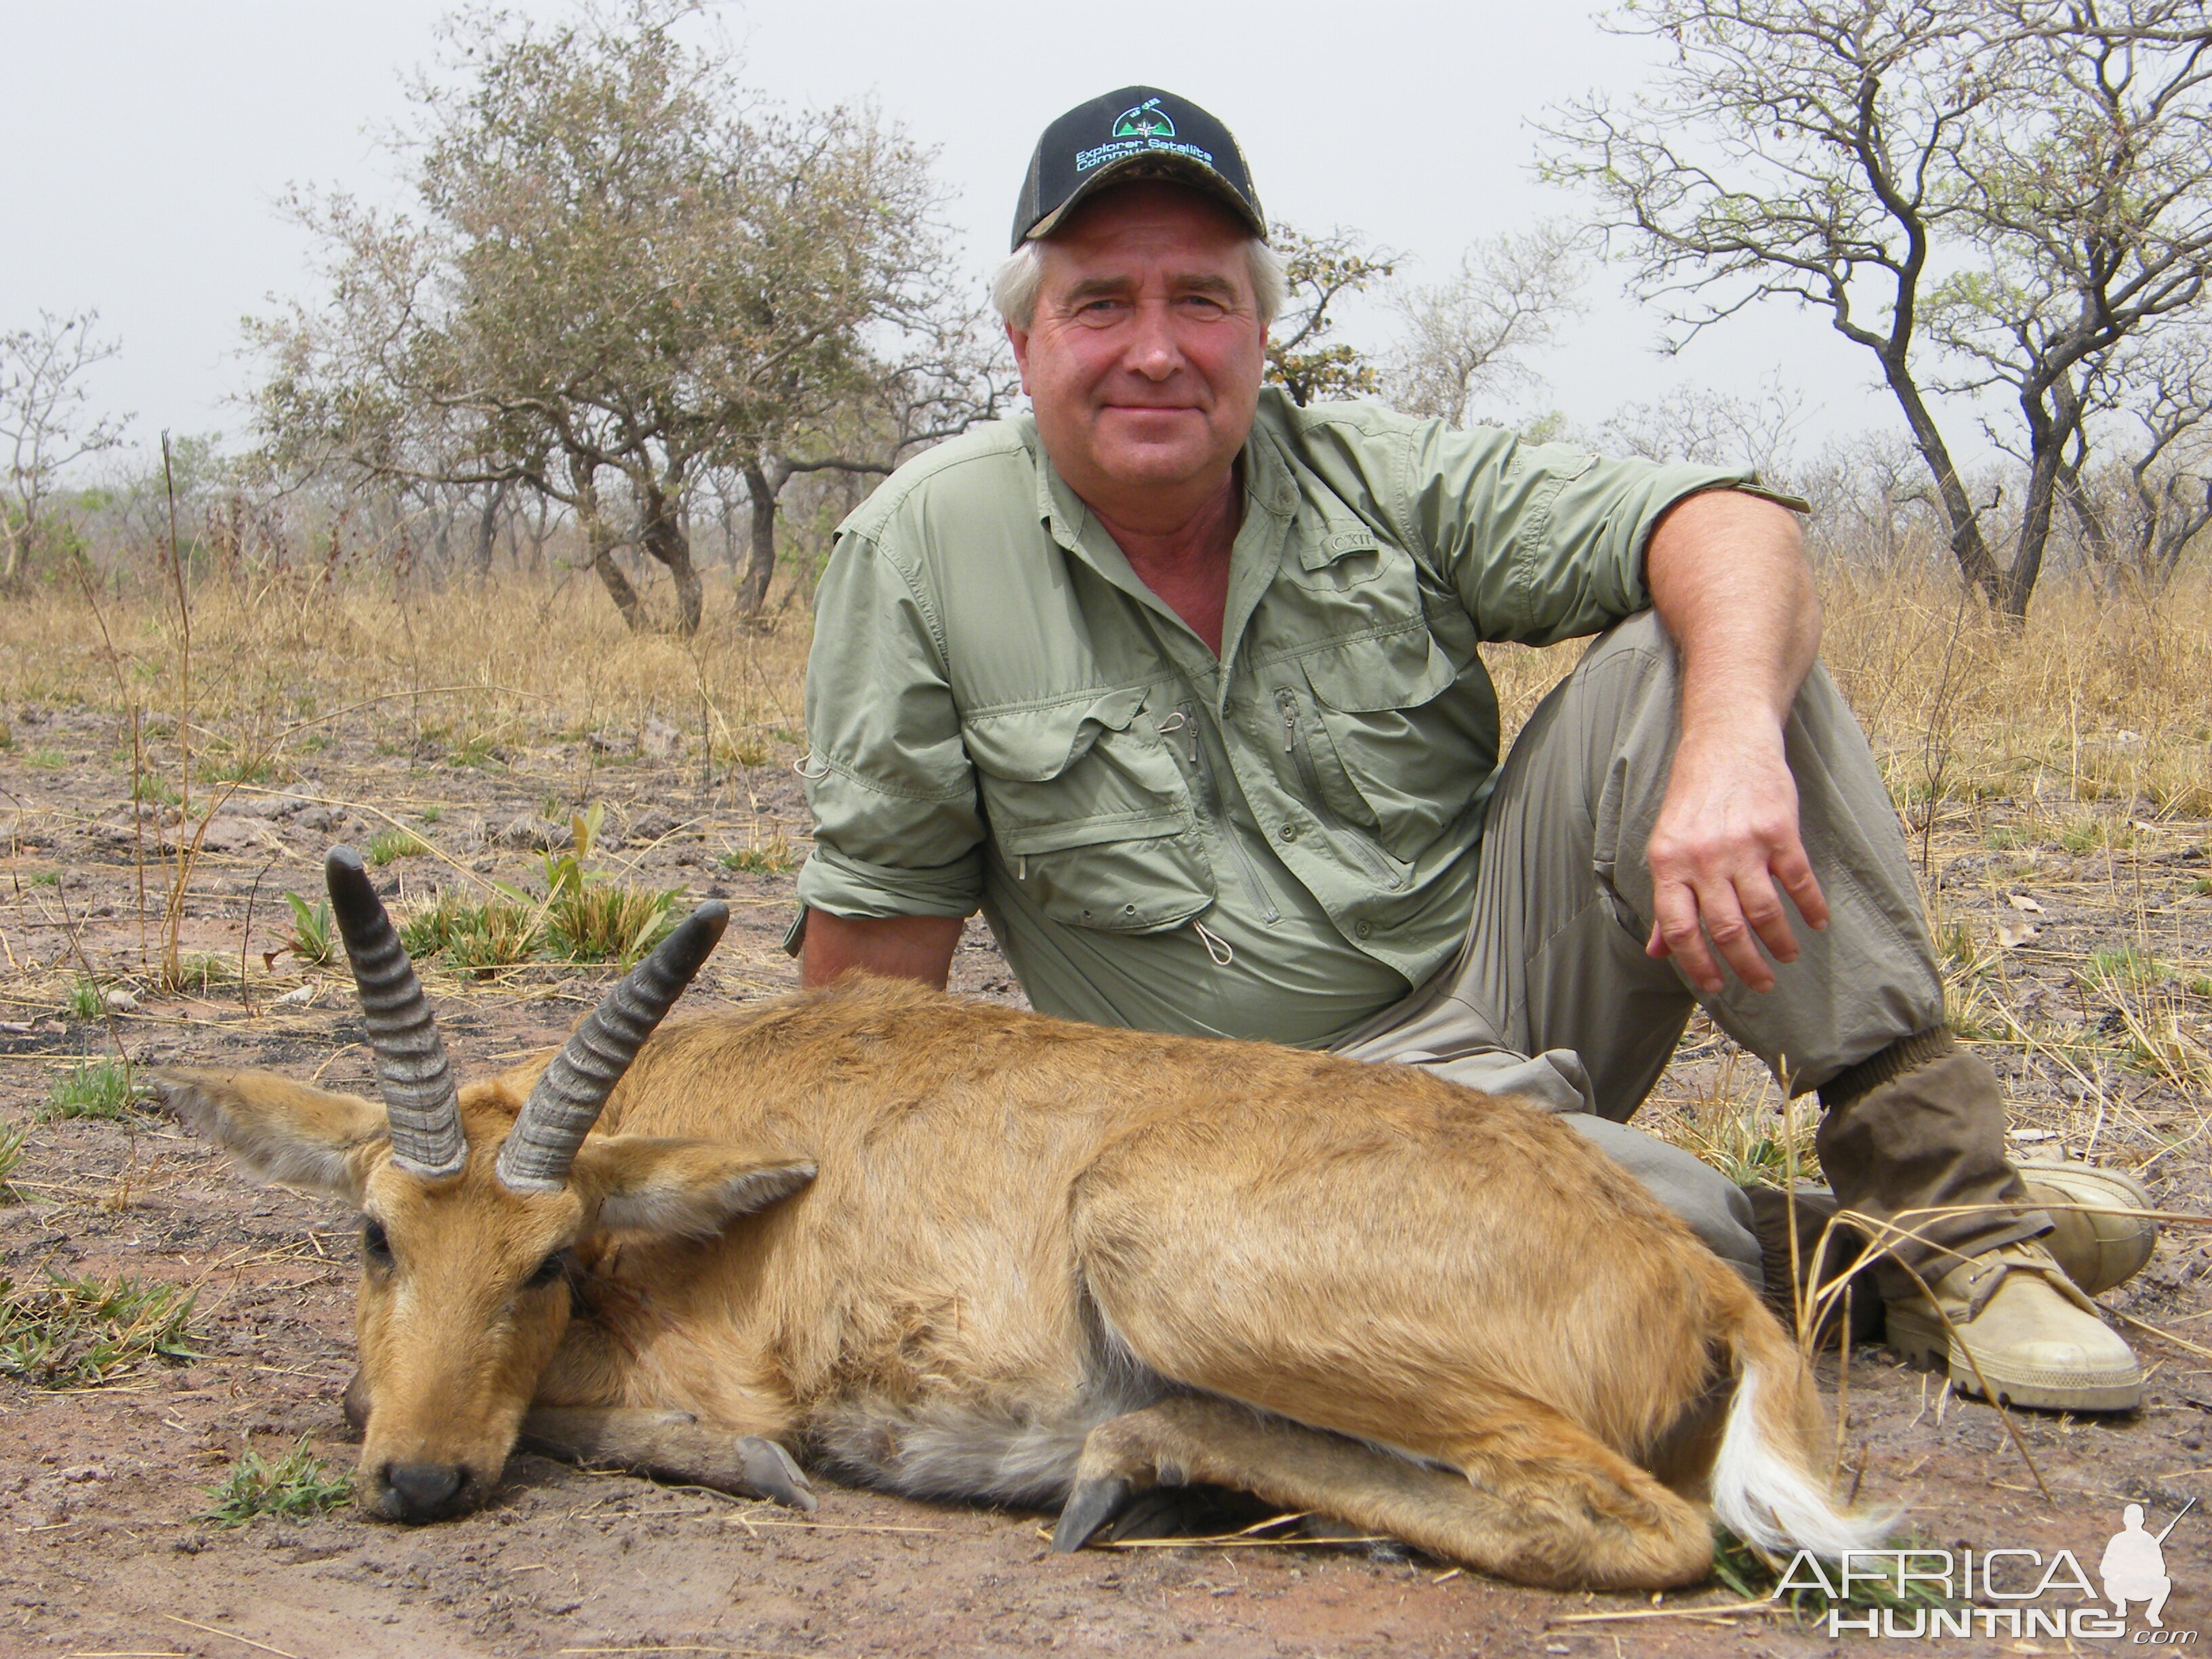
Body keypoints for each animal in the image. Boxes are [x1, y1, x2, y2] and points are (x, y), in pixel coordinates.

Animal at [156, 849, 1875, 1593]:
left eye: (551, 1261)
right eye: (378, 1234)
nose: (422, 1481)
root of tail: (1694, 1278)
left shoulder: (713, 1368)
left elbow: (651, 1423)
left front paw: (762, 1469)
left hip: (1165, 1266)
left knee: (1645, 1528)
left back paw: (1129, 1468)